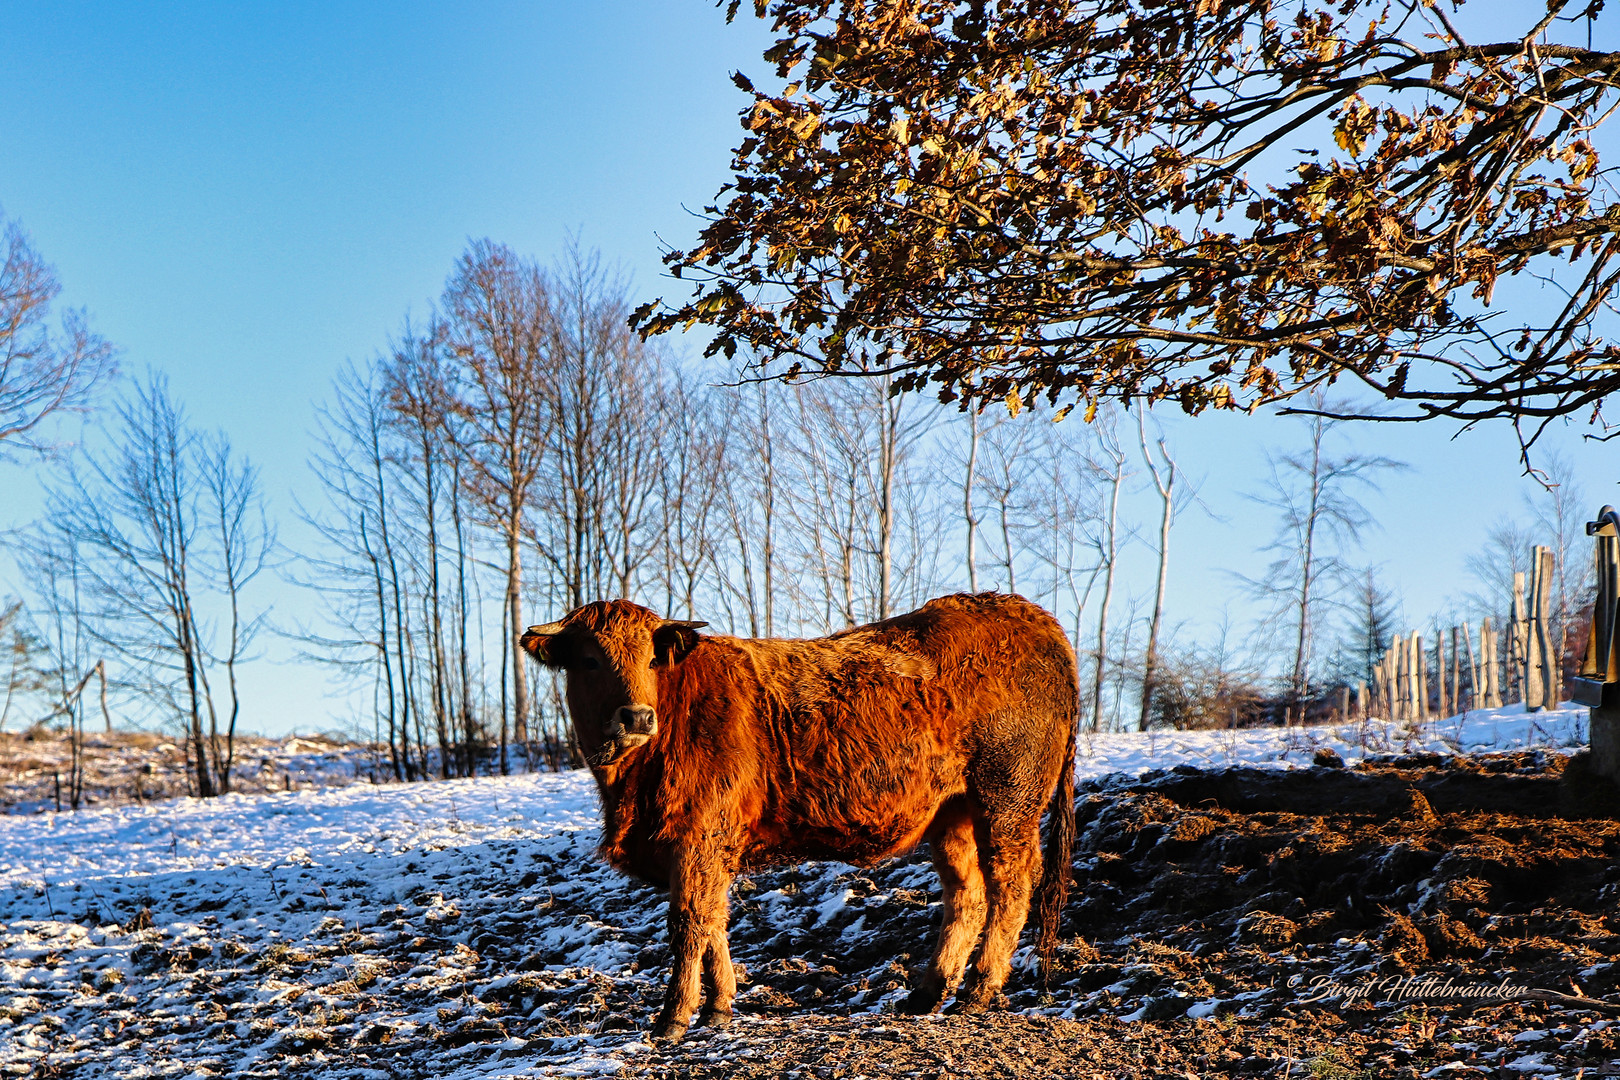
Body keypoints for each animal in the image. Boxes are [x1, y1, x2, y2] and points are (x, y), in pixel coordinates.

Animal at [518, 592, 1075, 1036]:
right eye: (589, 661)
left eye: (652, 659)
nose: (636, 716)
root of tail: (1027, 613)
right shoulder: (708, 847)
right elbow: (713, 920)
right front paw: (718, 1007)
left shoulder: (698, 838)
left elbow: (688, 923)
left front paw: (673, 1017)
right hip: (952, 814)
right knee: (967, 895)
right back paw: (926, 994)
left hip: (1007, 801)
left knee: (1011, 886)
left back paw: (978, 991)